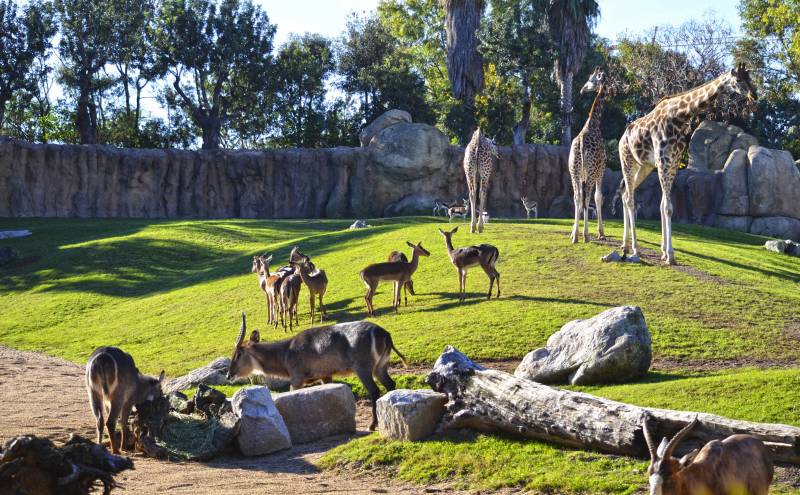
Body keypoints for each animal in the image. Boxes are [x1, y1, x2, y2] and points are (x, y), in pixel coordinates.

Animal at [228, 316, 410, 432]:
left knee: (374, 391)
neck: (286, 352)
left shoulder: (297, 379)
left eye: (238, 353)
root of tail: (385, 334)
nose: (229, 375)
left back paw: (372, 425)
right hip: (380, 367)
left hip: (363, 369)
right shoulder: (325, 376)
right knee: (390, 385)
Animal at [564, 67, 608, 243]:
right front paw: (601, 233)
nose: (583, 89)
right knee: (587, 197)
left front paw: (573, 231)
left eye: (591, 79)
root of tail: (581, 145)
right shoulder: (601, 170)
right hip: (590, 172)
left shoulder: (581, 174)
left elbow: (580, 199)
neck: (594, 123)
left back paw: (576, 236)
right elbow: (598, 197)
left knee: (577, 197)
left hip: (573, 172)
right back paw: (586, 236)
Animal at [620, 64, 756, 266]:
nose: (754, 95)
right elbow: (668, 207)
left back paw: (625, 244)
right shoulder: (663, 160)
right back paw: (635, 248)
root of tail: (622, 138)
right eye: (739, 80)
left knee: (624, 194)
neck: (680, 116)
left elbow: (663, 205)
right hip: (627, 160)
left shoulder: (673, 162)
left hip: (643, 166)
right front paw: (670, 255)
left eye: (750, 78)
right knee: (629, 198)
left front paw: (664, 252)